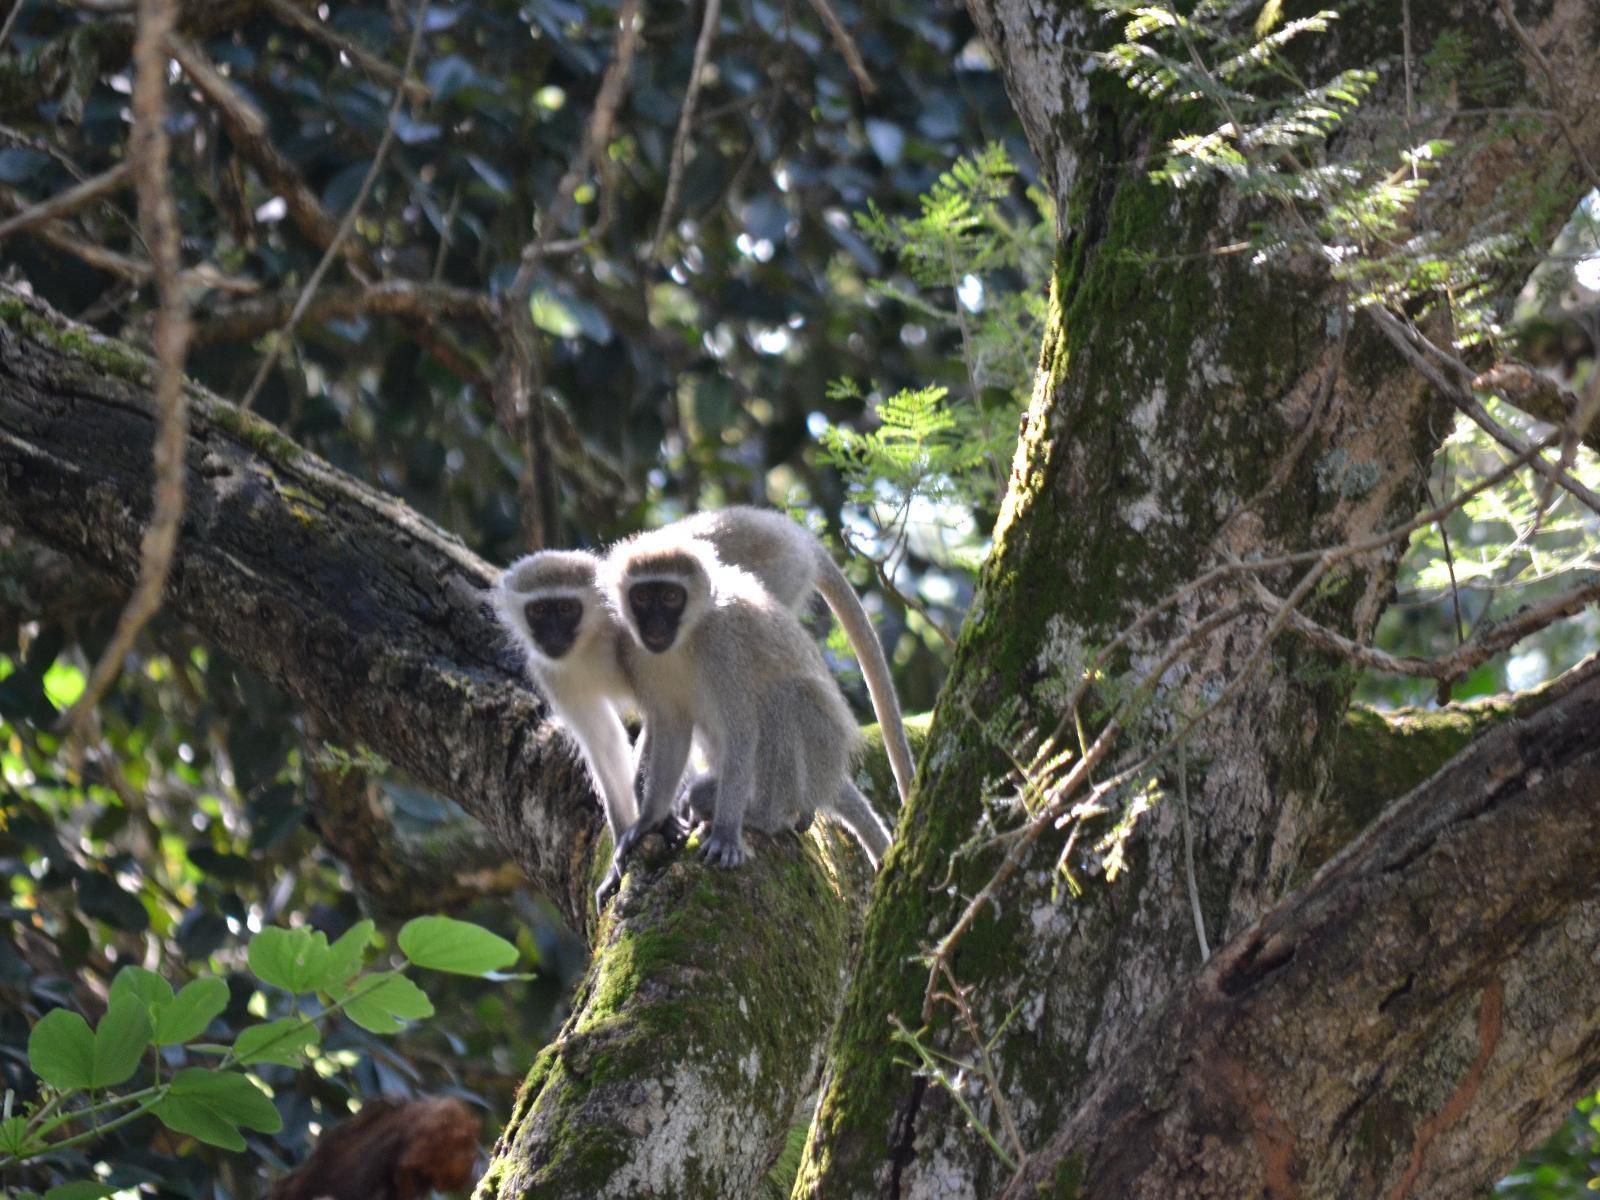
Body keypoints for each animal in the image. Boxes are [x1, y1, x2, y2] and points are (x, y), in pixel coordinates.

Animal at [601, 534, 896, 876]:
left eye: (672, 596)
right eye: (643, 596)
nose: (656, 626)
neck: (687, 638)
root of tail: (833, 774)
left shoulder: (724, 648)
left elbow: (740, 731)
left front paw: (726, 833)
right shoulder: (638, 653)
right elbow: (672, 730)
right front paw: (648, 822)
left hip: (820, 750)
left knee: (783, 699)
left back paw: (762, 816)